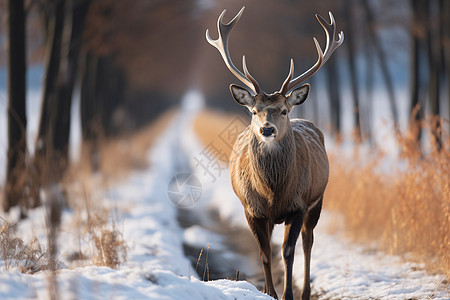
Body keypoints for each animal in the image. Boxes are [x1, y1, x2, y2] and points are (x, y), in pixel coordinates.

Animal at [207, 6, 344, 300]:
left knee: (308, 242)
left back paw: (305, 292)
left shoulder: (299, 204)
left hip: (318, 199)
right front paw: (269, 292)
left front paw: (288, 294)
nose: (267, 129)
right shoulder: (252, 209)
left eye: (283, 110)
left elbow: (288, 252)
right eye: (253, 110)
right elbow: (264, 253)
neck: (274, 193)